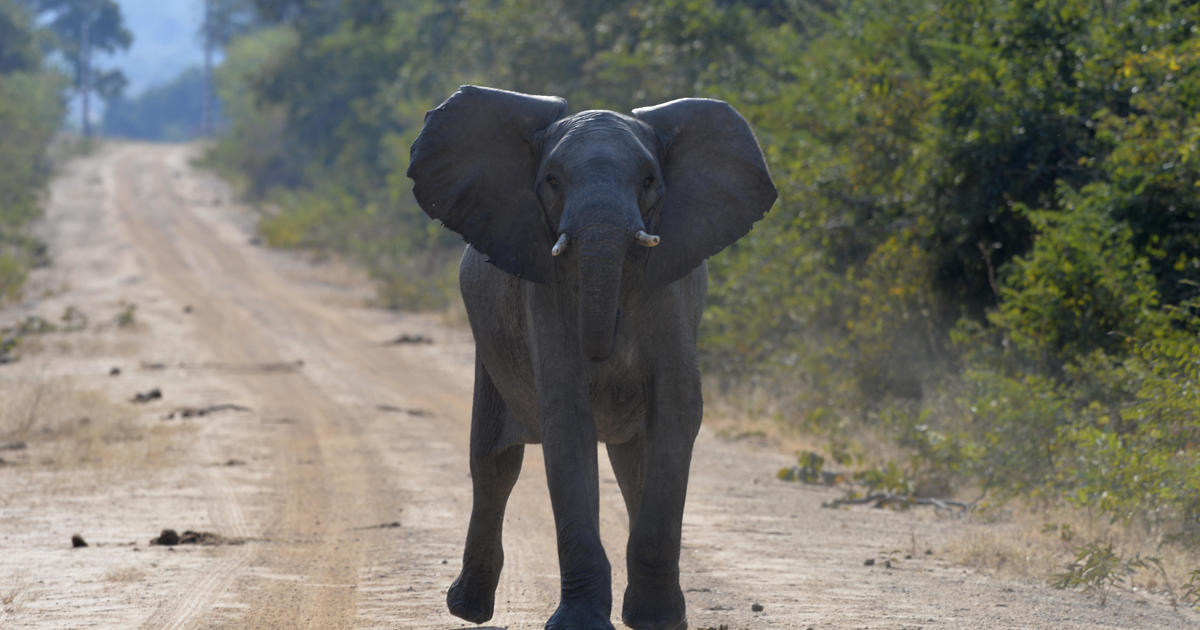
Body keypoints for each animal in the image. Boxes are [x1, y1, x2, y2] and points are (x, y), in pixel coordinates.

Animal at [405, 84, 777, 628]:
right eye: (552, 181)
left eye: (649, 180)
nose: (604, 351)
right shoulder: (544, 290)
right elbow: (567, 417)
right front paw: (580, 623)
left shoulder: (672, 290)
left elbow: (676, 412)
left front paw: (656, 621)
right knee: (494, 463)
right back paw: (467, 608)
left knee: (628, 462)